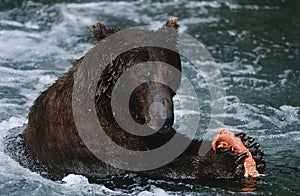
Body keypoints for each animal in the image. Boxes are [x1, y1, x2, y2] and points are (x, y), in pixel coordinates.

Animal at [21, 17, 264, 180]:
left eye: (169, 73)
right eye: (141, 76)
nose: (164, 118)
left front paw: (251, 146)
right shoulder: (93, 144)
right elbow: (149, 165)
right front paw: (224, 161)